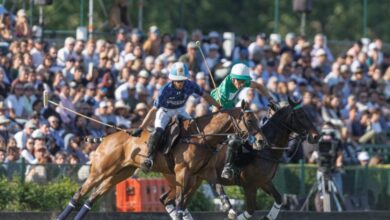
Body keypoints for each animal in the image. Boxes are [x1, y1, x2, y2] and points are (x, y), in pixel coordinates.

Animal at [57, 102, 258, 220]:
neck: (201, 137)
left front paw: (231, 210)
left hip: (119, 174)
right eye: (250, 120)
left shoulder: (205, 173)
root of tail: (106, 137)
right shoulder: (183, 173)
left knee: (91, 198)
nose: (261, 141)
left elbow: (220, 191)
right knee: (79, 194)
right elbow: (180, 204)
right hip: (101, 170)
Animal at [159, 98, 320, 220]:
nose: (316, 136)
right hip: (183, 178)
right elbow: (250, 210)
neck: (266, 149)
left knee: (167, 199)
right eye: (301, 115)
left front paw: (267, 217)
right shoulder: (250, 185)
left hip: (193, 181)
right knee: (173, 200)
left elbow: (279, 199)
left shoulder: (264, 182)